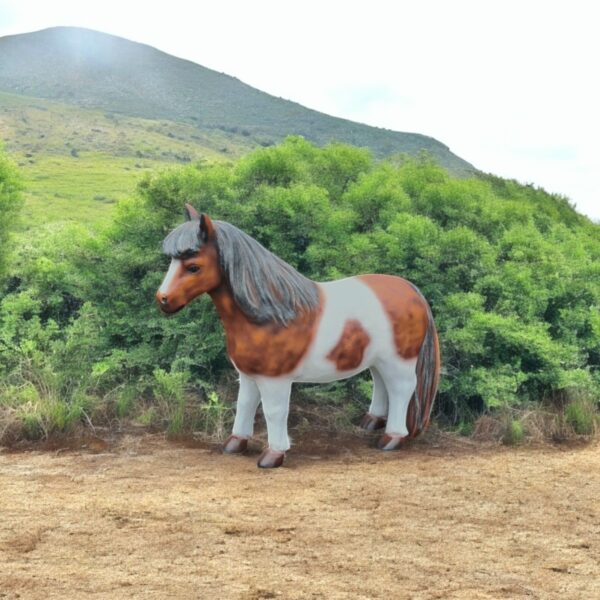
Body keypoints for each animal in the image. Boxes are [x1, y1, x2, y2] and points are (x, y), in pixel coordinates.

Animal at [155, 204, 440, 466]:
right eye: (172, 261)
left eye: (193, 267)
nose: (163, 300)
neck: (271, 314)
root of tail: (412, 290)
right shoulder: (248, 375)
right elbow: (245, 404)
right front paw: (235, 443)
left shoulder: (275, 379)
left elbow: (274, 411)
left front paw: (274, 455)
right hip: (378, 359)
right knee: (381, 384)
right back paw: (371, 422)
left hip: (399, 360)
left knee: (401, 389)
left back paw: (392, 438)